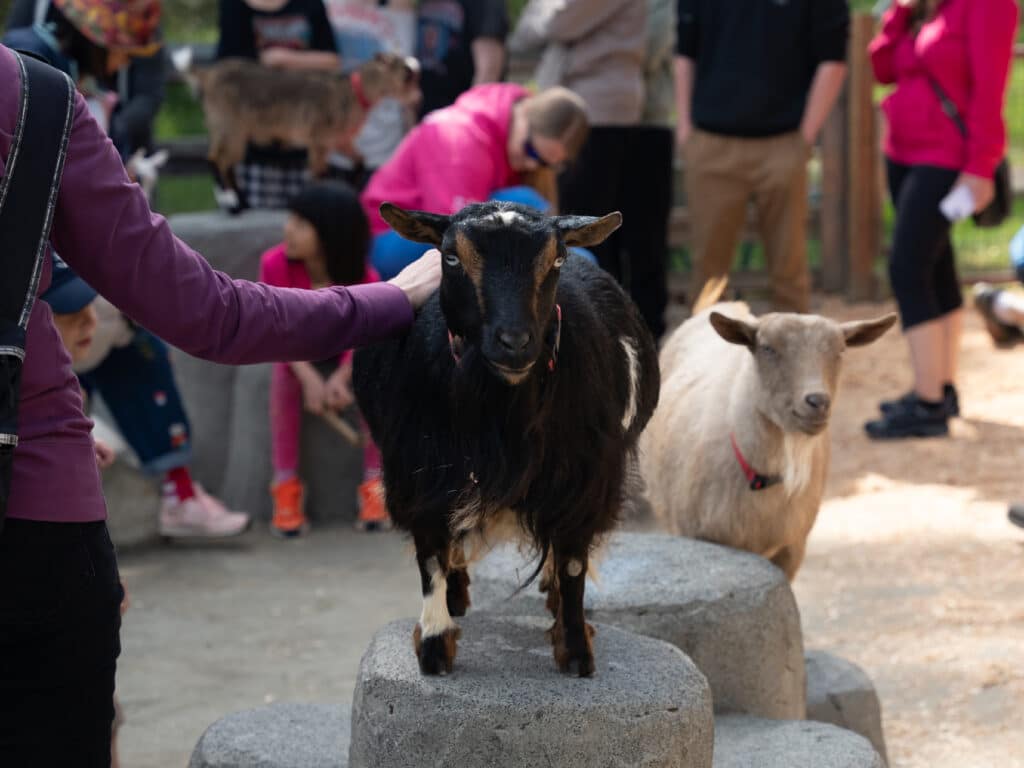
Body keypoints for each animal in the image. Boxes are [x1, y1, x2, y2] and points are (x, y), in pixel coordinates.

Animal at [352, 201, 659, 675]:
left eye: (556, 260)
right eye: (451, 257)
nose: (514, 342)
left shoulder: (584, 480)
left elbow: (573, 563)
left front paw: (575, 651)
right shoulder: (421, 474)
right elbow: (431, 557)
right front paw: (435, 647)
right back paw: (458, 596)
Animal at [638, 303, 897, 581]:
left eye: (841, 351)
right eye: (767, 348)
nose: (818, 402)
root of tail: (725, 305)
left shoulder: (792, 547)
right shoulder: (697, 536)